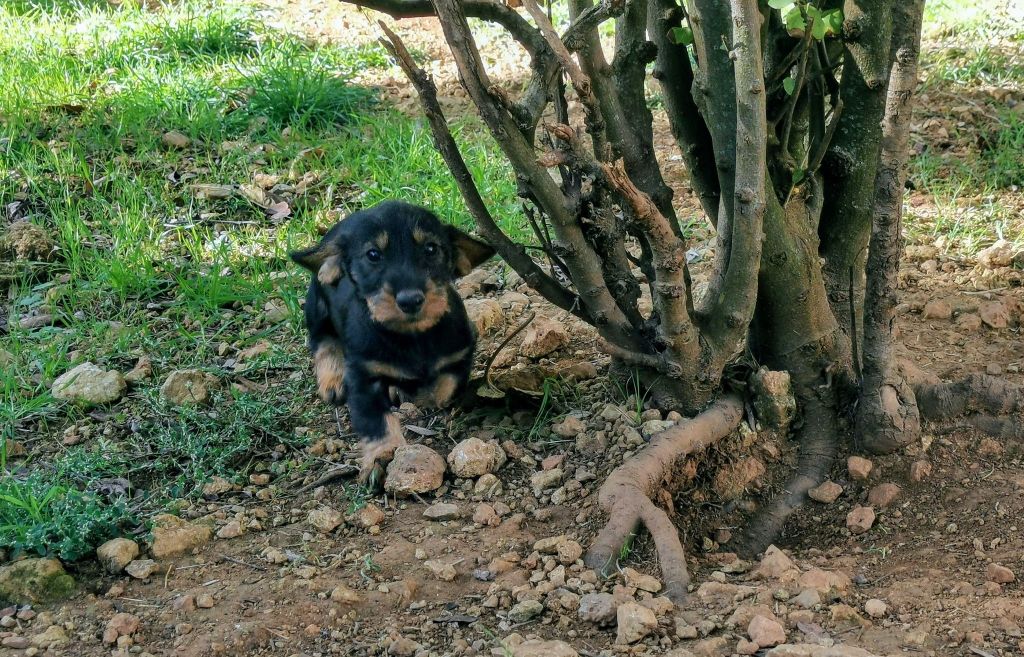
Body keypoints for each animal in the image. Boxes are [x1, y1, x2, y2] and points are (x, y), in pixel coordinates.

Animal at [288, 199, 495, 480]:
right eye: (373, 255)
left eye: (431, 248)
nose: (410, 300)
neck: (413, 335)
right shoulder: (363, 378)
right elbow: (377, 421)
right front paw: (382, 455)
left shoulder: (462, 352)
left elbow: (446, 387)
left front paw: (421, 394)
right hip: (316, 308)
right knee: (322, 342)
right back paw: (332, 380)